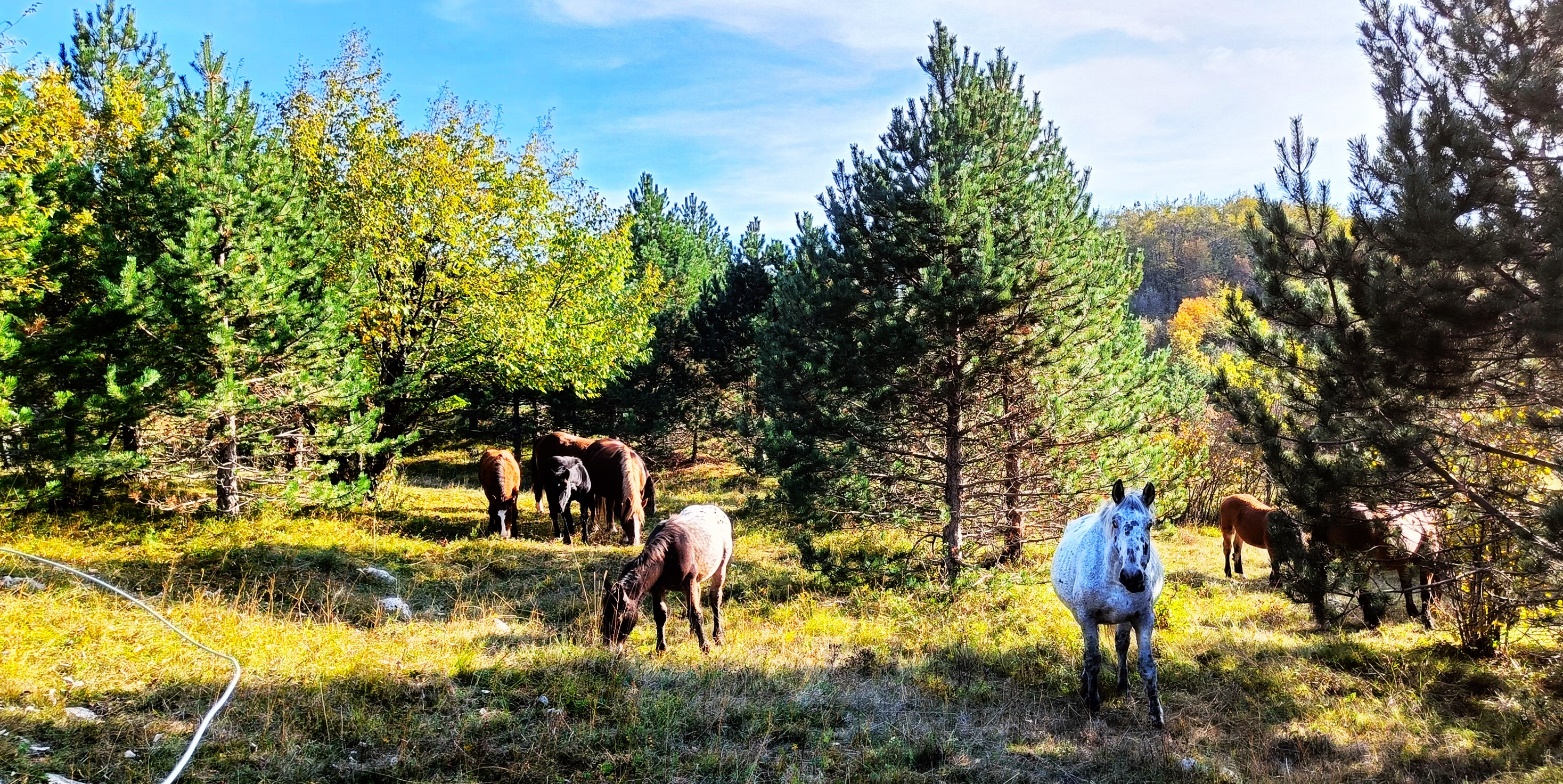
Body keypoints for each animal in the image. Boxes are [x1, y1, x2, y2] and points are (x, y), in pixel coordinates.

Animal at [603, 506, 737, 652]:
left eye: (619, 617)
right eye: (604, 613)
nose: (610, 647)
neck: (666, 555)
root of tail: (717, 510)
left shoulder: (689, 582)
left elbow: (695, 613)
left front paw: (705, 647)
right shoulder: (657, 588)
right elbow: (660, 615)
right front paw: (661, 648)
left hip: (720, 569)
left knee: (715, 599)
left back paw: (718, 636)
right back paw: (692, 632)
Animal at [1050, 477, 1162, 727]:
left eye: (1149, 524)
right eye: (1115, 522)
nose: (1132, 577)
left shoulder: (1143, 618)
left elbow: (1147, 666)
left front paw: (1156, 714)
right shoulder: (1087, 618)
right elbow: (1092, 659)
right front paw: (1093, 702)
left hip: (1124, 619)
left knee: (1121, 644)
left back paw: (1122, 685)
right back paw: (1085, 686)